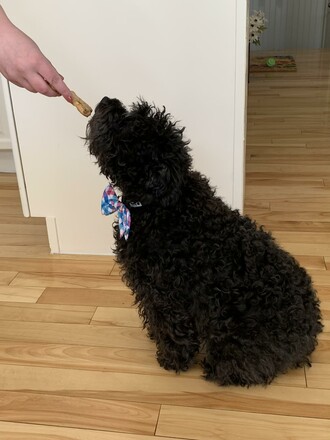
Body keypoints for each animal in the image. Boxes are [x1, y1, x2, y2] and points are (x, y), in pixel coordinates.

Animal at [86, 98, 324, 386]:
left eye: (131, 127)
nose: (107, 101)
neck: (164, 206)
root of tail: (311, 333)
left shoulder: (164, 294)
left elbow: (171, 328)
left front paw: (171, 359)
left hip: (234, 339)